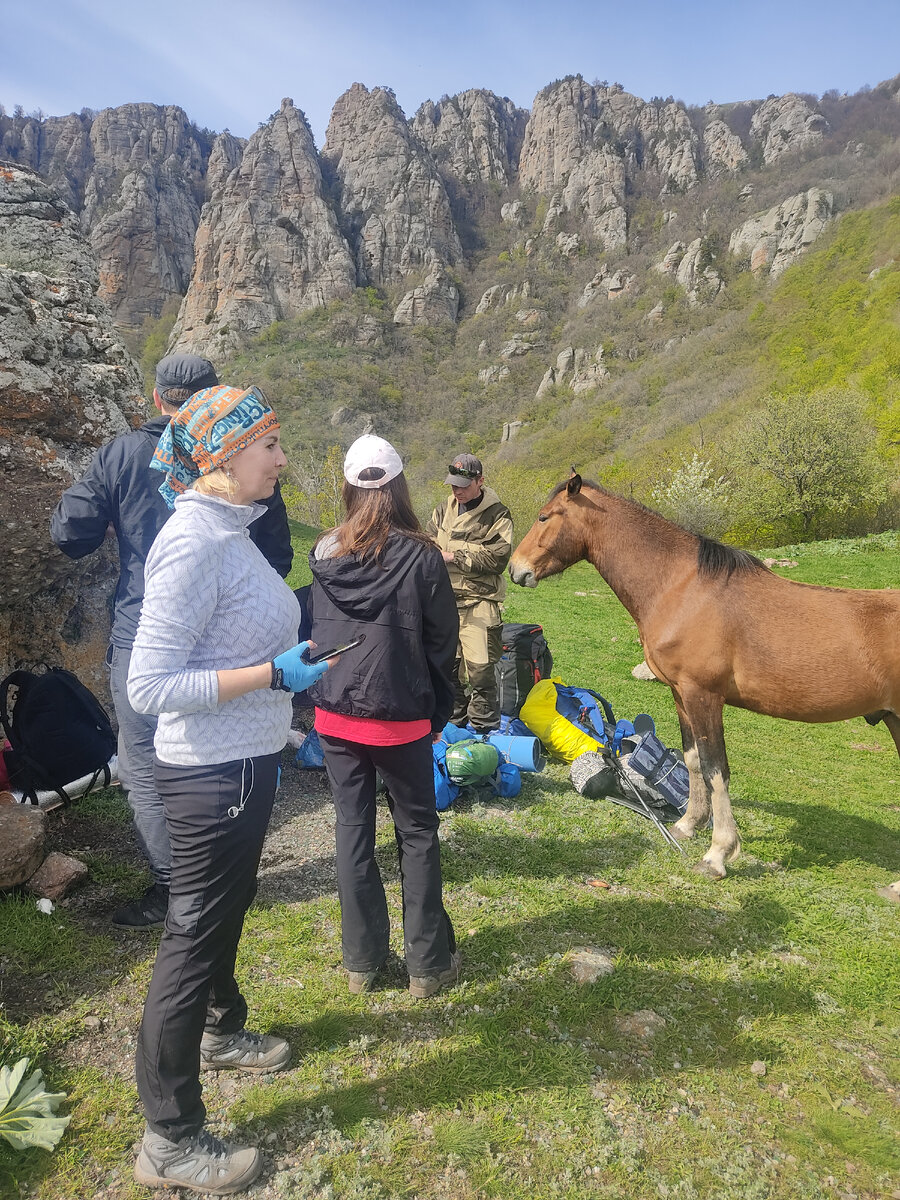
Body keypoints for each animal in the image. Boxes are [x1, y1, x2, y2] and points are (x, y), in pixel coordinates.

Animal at [511, 475, 900, 883]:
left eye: (544, 517)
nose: (516, 569)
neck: (683, 589)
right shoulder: (682, 695)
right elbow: (693, 759)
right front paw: (688, 825)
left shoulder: (704, 695)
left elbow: (716, 769)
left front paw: (718, 854)